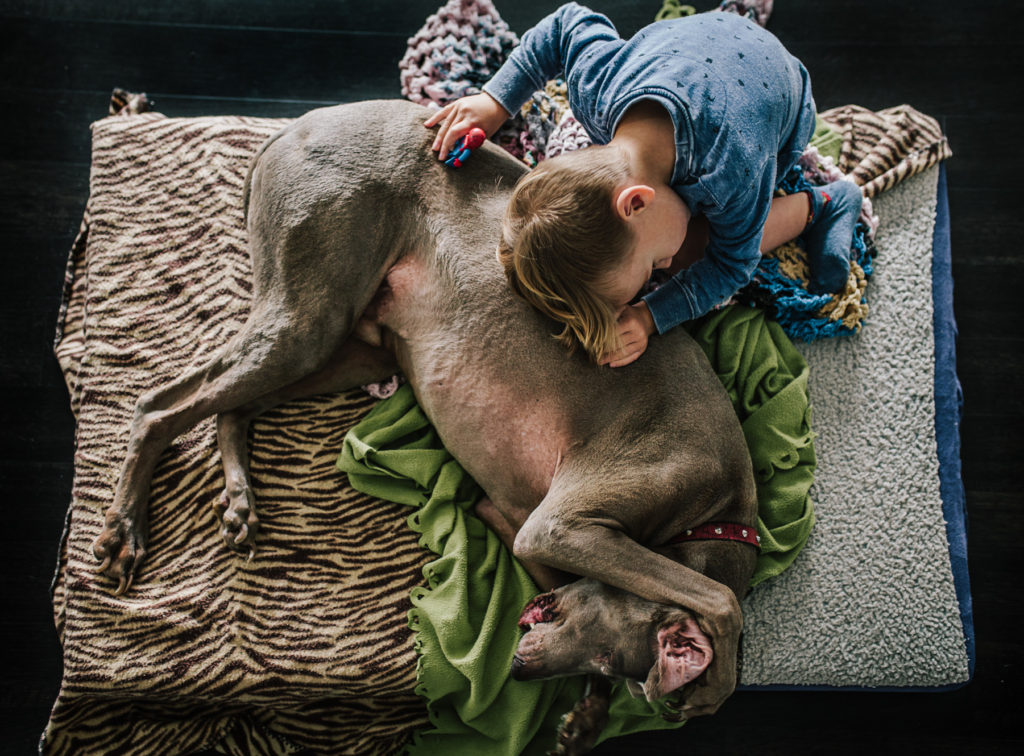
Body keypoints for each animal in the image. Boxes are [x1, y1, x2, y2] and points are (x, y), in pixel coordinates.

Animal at [92, 98, 757, 749]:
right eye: (607, 662)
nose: (521, 667)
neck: (712, 517)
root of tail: (292, 129)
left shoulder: (511, 520)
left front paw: (583, 722)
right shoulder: (563, 526)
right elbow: (722, 599)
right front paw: (715, 681)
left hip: (357, 347)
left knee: (232, 405)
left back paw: (238, 501)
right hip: (307, 315)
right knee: (158, 405)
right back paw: (124, 530)